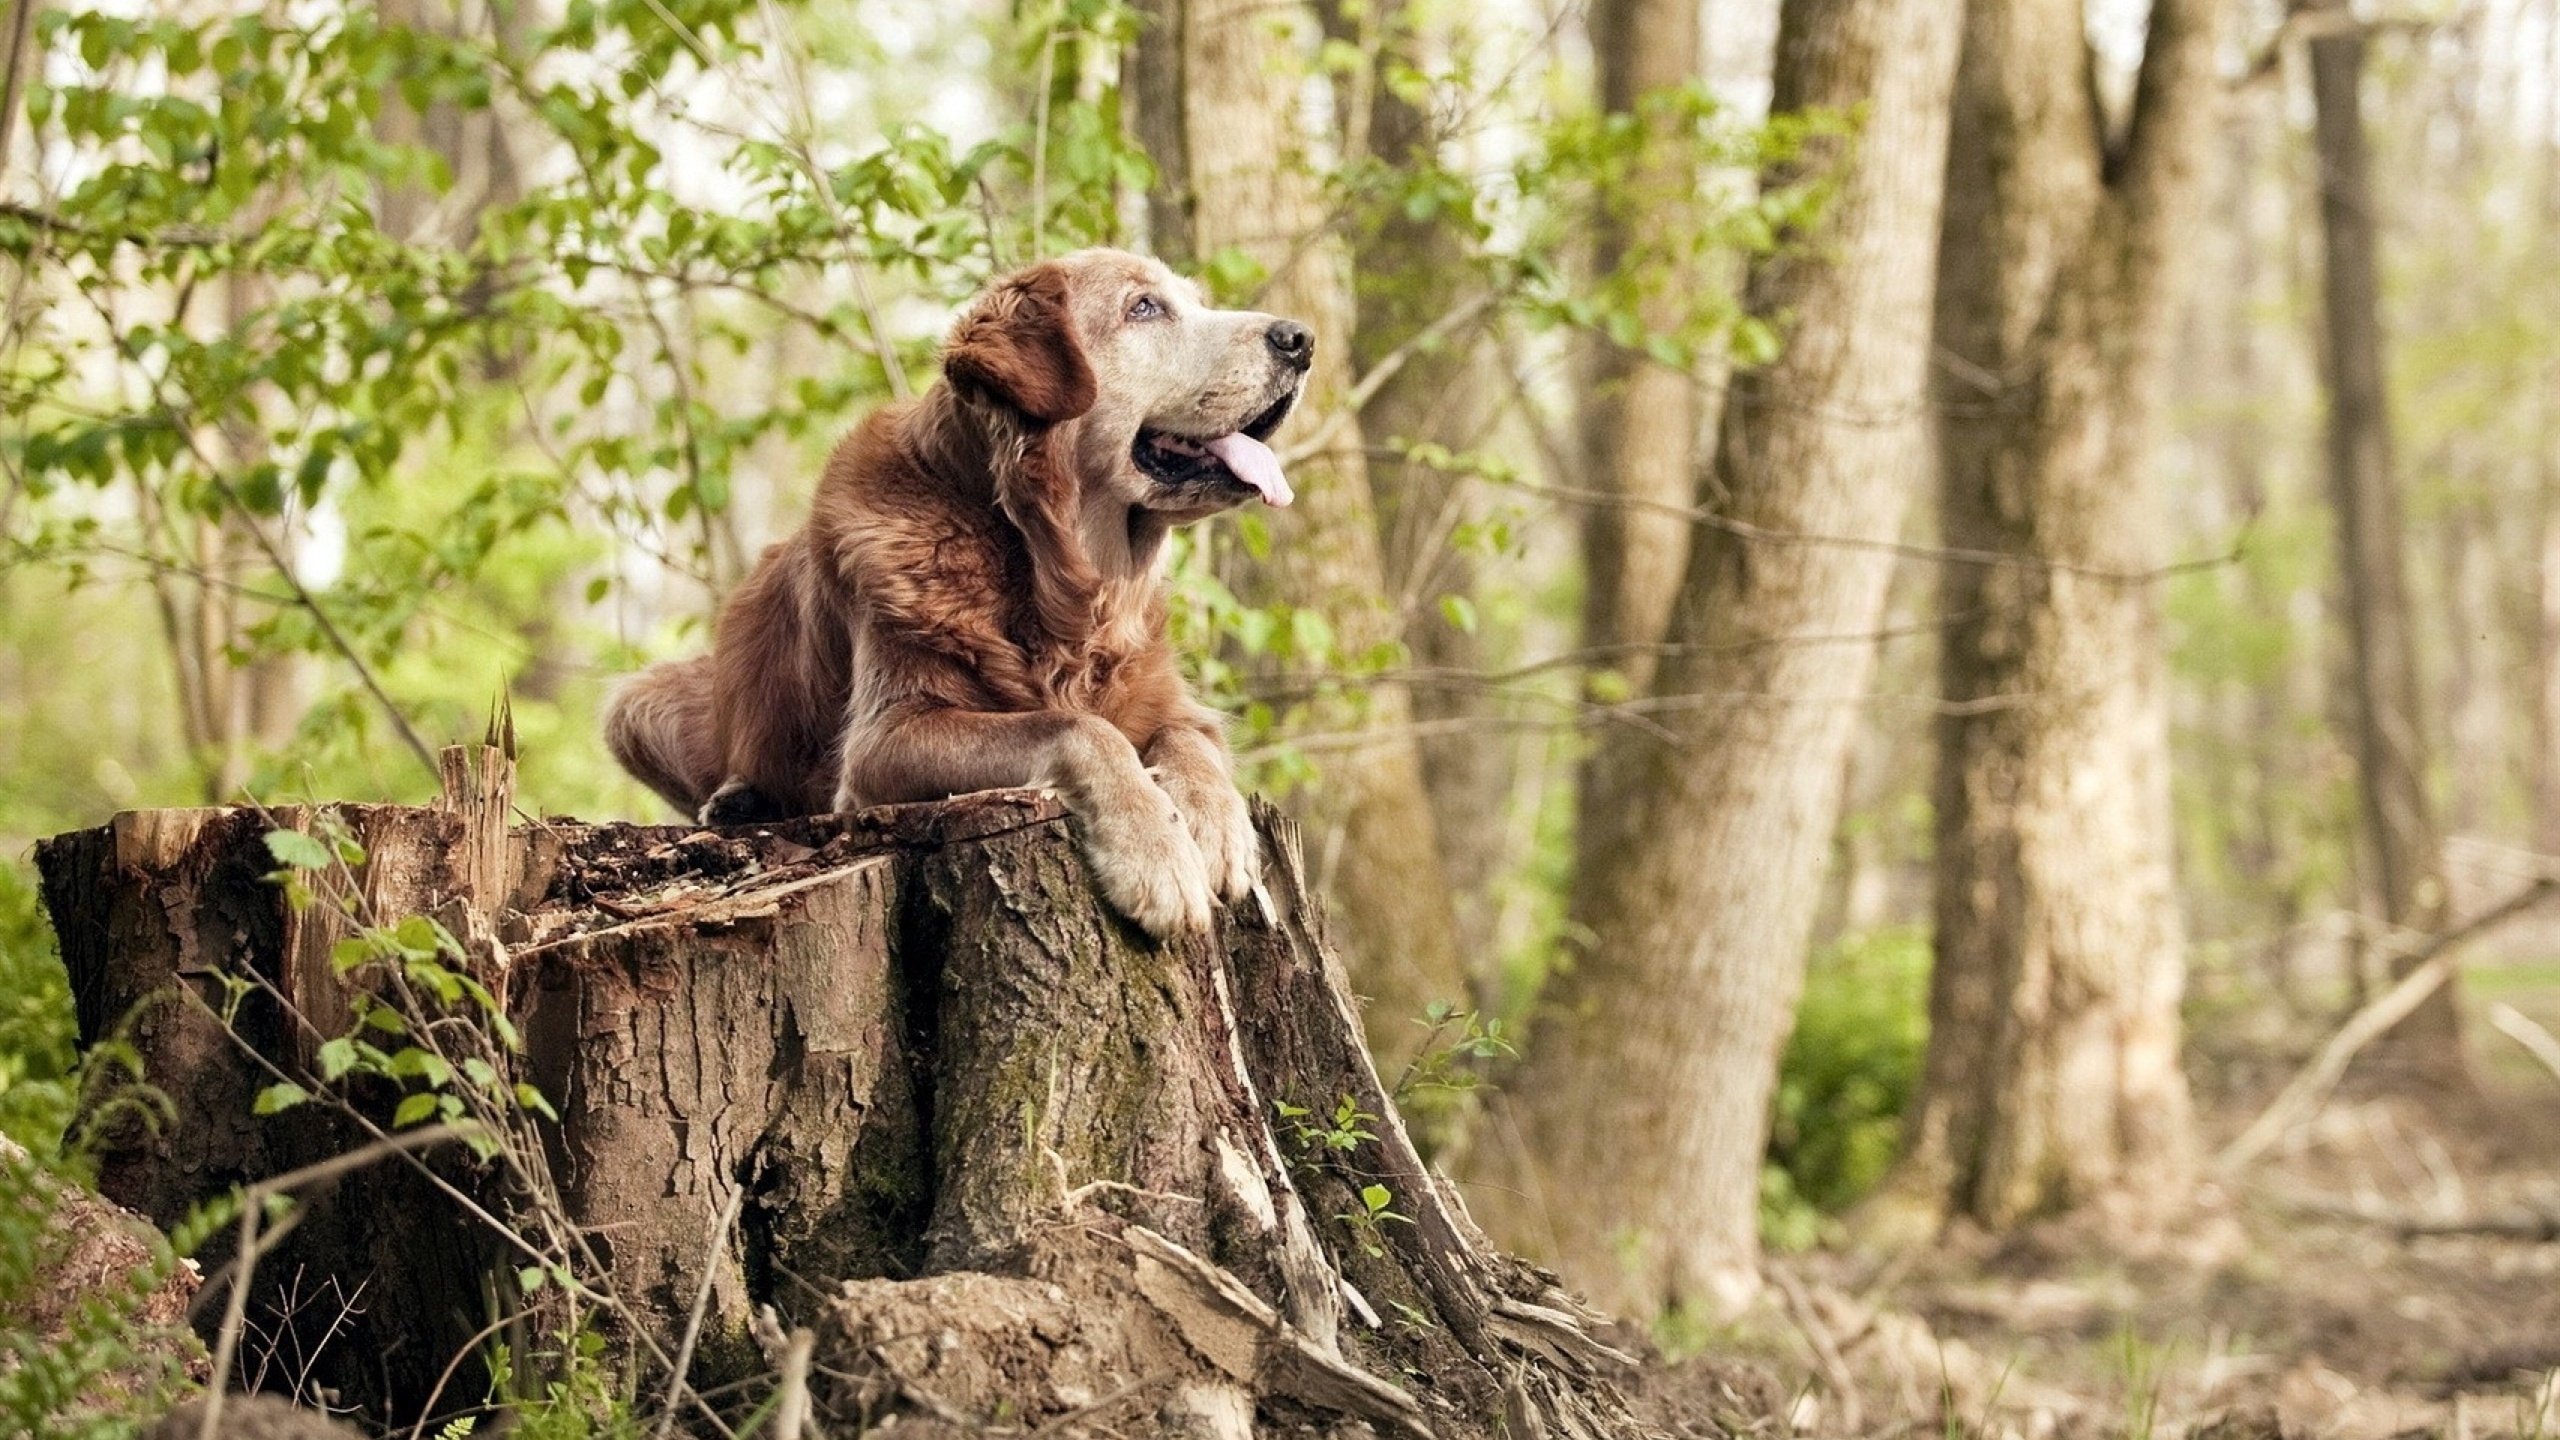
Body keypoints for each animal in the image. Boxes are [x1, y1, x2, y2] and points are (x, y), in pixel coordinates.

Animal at [606, 251, 1310, 937]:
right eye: (1143, 308)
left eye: (1194, 301)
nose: (1301, 339)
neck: (1057, 581)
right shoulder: (884, 742)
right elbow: (1080, 728)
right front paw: (1154, 854)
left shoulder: (1173, 702)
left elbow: (1190, 743)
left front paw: (1218, 830)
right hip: (634, 704)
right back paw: (737, 799)